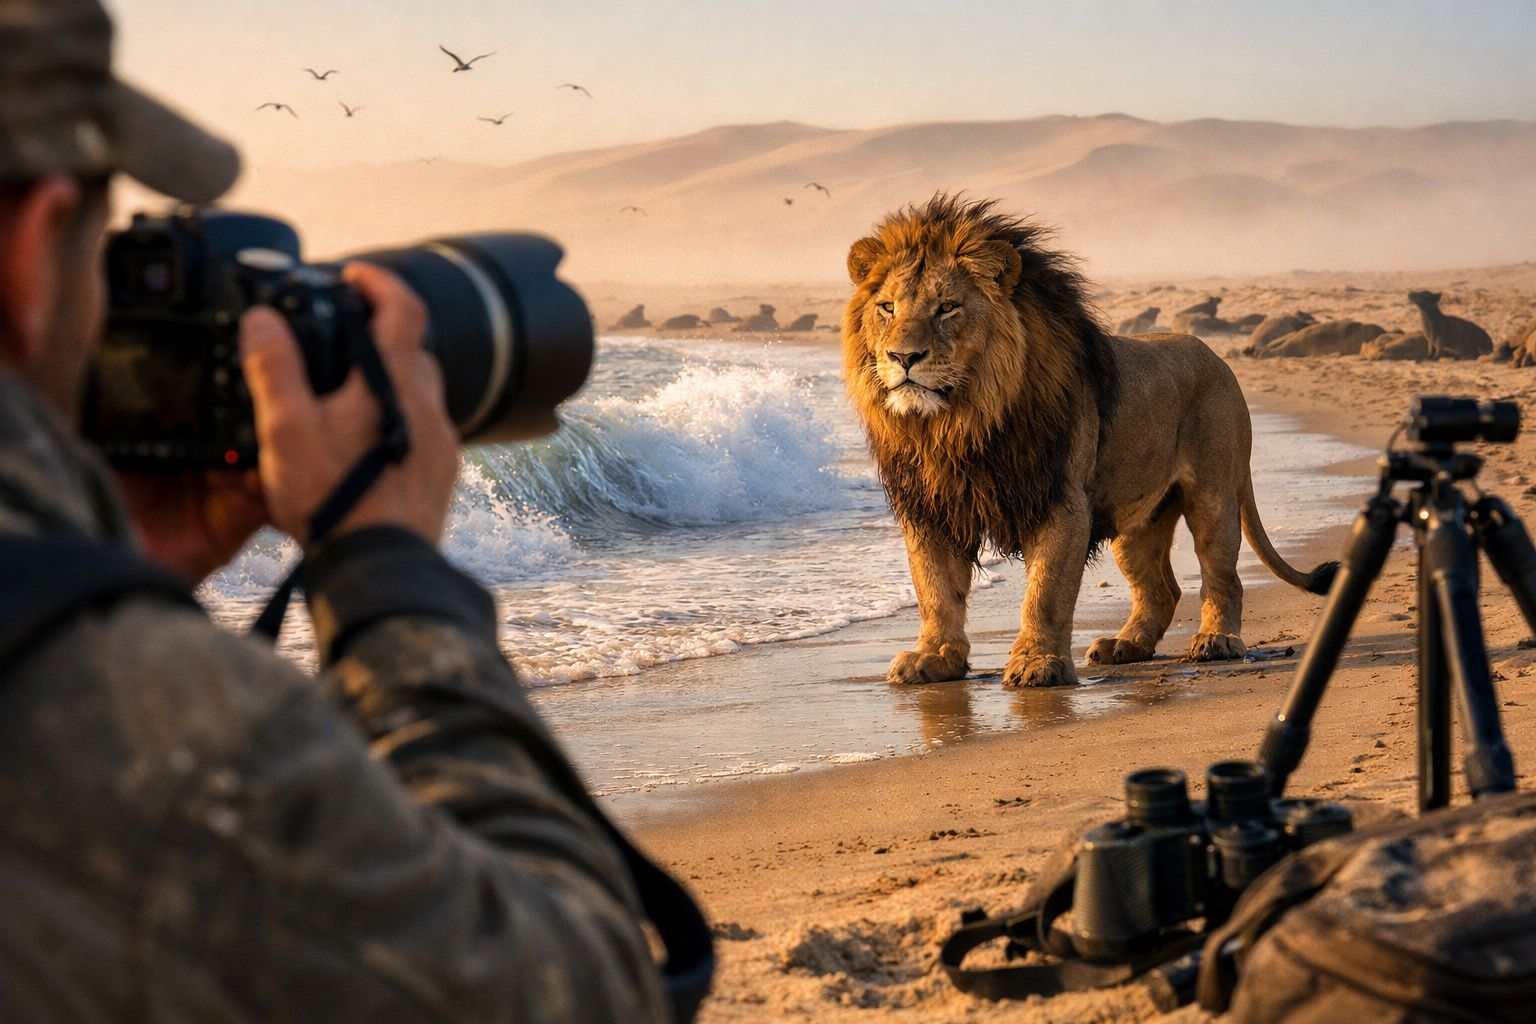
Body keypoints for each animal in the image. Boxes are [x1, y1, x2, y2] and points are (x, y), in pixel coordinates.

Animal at [841, 195, 1336, 688]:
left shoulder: (1063, 502)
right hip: (1137, 522)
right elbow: (936, 591)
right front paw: (935, 658)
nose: (903, 357)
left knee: (1222, 576)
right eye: (887, 307)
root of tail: (1218, 358)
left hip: (1212, 495)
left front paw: (1037, 663)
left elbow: (1045, 591)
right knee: (1162, 589)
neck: (957, 425)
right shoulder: (931, 508)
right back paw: (1125, 646)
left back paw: (1217, 641)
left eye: (947, 307)